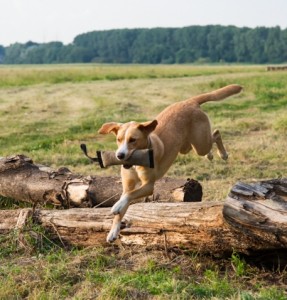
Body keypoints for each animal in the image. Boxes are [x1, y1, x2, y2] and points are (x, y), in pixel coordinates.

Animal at [98, 84, 243, 241]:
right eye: (118, 139)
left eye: (133, 140)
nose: (119, 155)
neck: (136, 163)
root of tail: (190, 101)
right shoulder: (127, 185)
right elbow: (124, 201)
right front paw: (113, 231)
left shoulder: (148, 186)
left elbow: (128, 196)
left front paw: (116, 207)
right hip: (187, 146)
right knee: (204, 143)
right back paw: (210, 155)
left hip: (200, 143)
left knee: (216, 134)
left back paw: (222, 153)